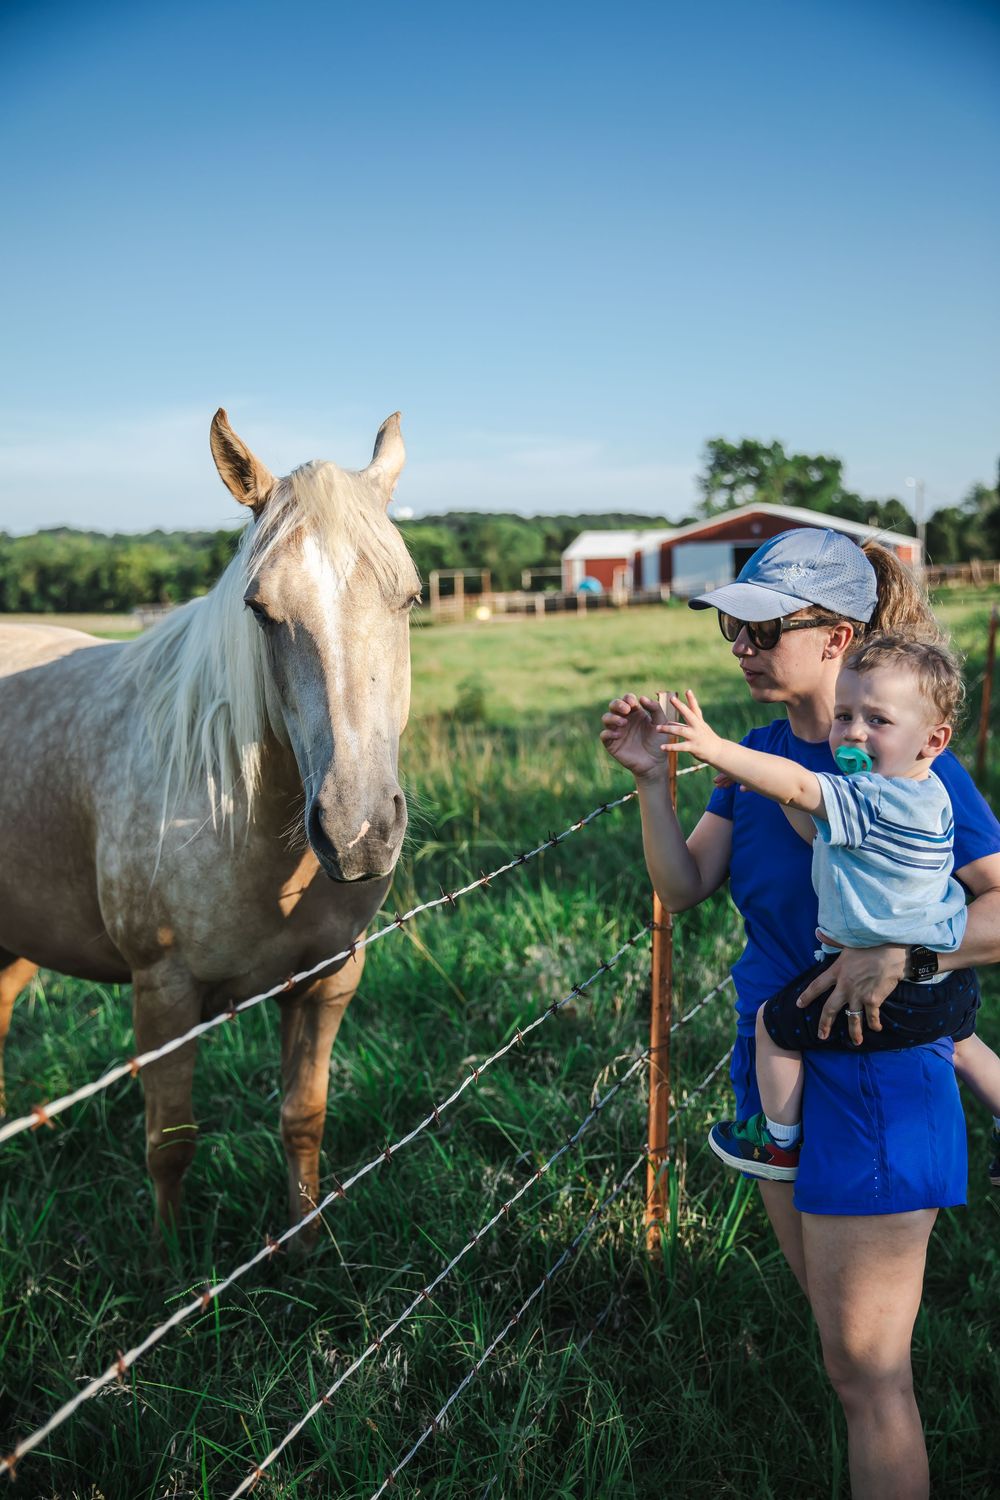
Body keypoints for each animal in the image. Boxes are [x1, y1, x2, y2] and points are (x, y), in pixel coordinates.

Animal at [0, 409, 420, 1240]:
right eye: (261, 609)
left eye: (411, 598)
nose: (357, 831)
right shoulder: (163, 994)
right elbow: (170, 1144)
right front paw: (169, 1260)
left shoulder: (327, 981)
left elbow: (303, 1119)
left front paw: (306, 1244)